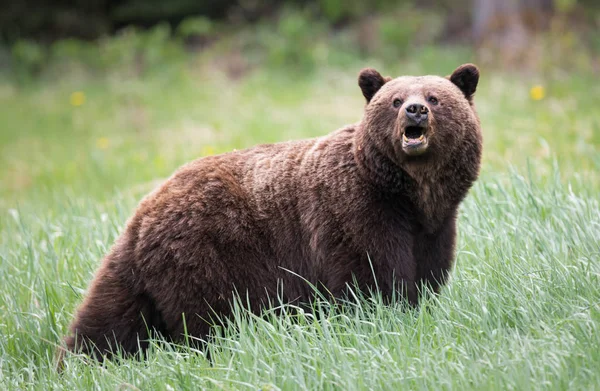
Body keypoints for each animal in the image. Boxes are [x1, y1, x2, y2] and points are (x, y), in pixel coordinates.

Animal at [61, 63, 482, 364]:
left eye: (435, 97)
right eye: (394, 100)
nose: (415, 110)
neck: (410, 195)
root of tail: (143, 211)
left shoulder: (434, 227)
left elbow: (427, 272)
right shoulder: (357, 211)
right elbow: (372, 275)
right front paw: (387, 314)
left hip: (137, 272)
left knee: (109, 320)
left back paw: (81, 362)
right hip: (208, 251)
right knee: (208, 318)